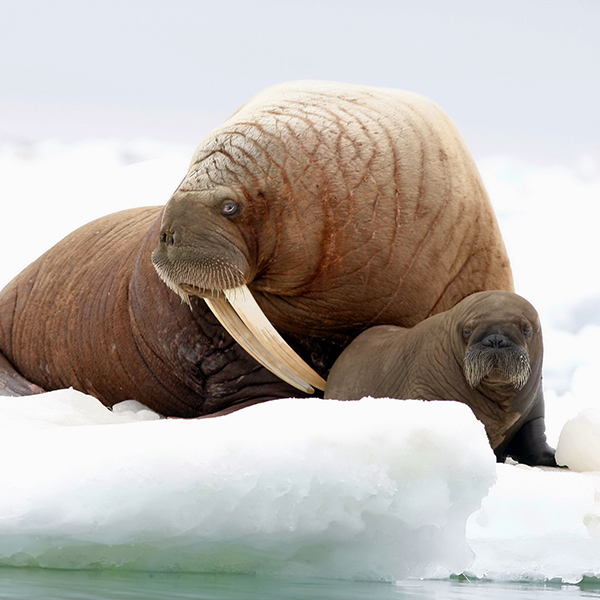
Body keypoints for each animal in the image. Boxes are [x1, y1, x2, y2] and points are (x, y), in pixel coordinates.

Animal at [326, 290, 556, 464]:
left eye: (527, 330)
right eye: (467, 330)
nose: (496, 340)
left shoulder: (534, 410)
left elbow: (534, 441)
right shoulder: (423, 393)